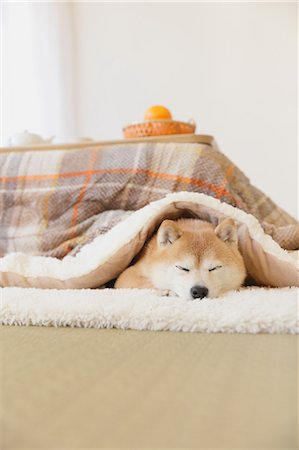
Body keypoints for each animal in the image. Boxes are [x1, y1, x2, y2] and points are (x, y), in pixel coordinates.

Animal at [116, 218, 247, 298]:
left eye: (214, 268)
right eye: (182, 268)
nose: (199, 291)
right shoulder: (126, 275)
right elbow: (147, 282)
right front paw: (165, 290)